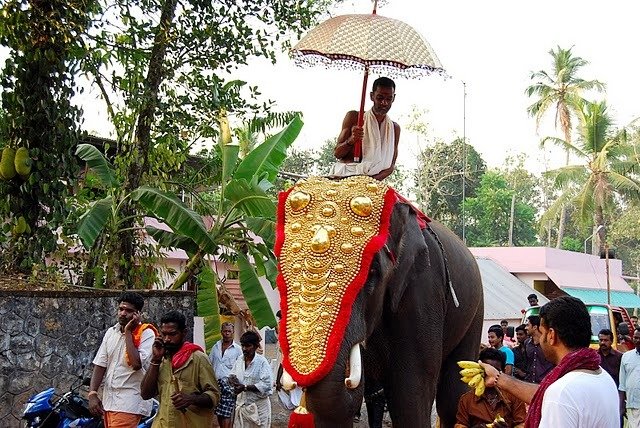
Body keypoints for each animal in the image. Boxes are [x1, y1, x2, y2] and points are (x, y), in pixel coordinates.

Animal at [276, 176, 484, 426]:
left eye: (373, 272)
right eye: (280, 272)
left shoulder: (423, 289)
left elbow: (410, 393)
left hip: (475, 310)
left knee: (452, 396)